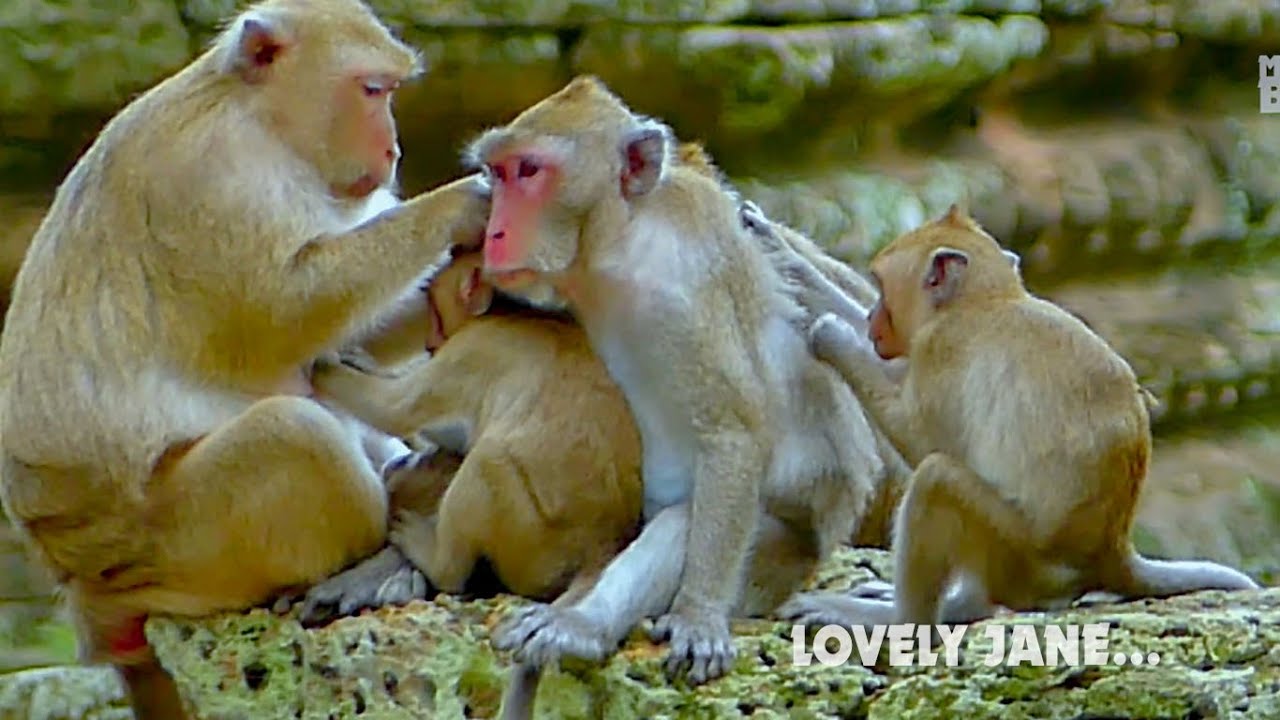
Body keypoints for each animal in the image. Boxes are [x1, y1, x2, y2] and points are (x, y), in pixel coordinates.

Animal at [0, 2, 490, 717]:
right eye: (373, 90)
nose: (393, 150)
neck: (262, 122)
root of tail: (79, 583)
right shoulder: (209, 175)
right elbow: (281, 316)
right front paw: (466, 203)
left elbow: (337, 345)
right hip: (174, 540)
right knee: (295, 435)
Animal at [456, 77, 895, 711]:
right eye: (498, 171)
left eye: (530, 171)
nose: (494, 233)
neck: (620, 247)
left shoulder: (685, 292)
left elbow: (733, 434)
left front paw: (698, 618)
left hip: (773, 559)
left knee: (690, 520)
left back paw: (583, 629)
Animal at [775, 205, 1260, 635]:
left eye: (880, 286)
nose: (874, 318)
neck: (985, 299)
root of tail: (1110, 551)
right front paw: (782, 253)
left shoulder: (942, 349)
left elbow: (918, 438)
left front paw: (832, 336)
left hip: (1017, 557)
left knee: (938, 480)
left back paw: (898, 621)